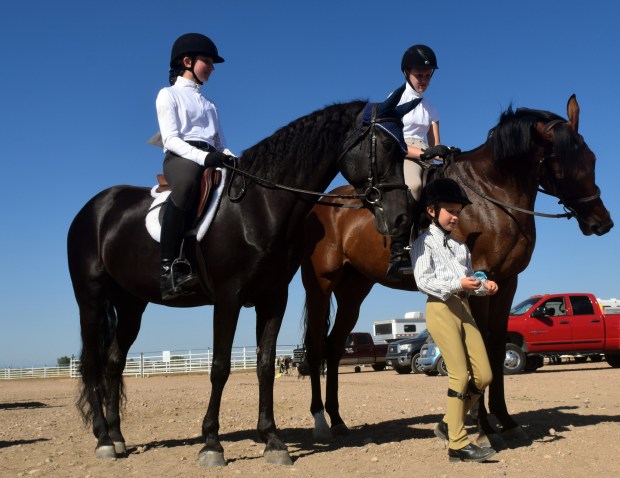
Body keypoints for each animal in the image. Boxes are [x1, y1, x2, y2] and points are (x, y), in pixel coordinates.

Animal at [66, 89, 422, 466]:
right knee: (92, 364)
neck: (259, 205)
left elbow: (265, 365)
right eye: (386, 145)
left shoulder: (273, 298)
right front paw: (212, 444)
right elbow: (220, 366)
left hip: (131, 304)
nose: (400, 218)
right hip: (90, 300)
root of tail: (95, 207)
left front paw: (272, 440)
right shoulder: (228, 298)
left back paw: (118, 437)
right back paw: (104, 439)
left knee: (114, 362)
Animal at [302, 95, 616, 446]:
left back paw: (338, 420)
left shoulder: (506, 282)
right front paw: (485, 426)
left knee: (333, 347)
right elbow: (479, 344)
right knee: (316, 348)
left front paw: (505, 421)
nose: (602, 223)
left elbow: (495, 347)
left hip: (353, 291)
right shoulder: (479, 281)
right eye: (562, 162)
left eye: (591, 158)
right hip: (320, 286)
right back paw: (321, 422)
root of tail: (321, 204)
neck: (492, 194)